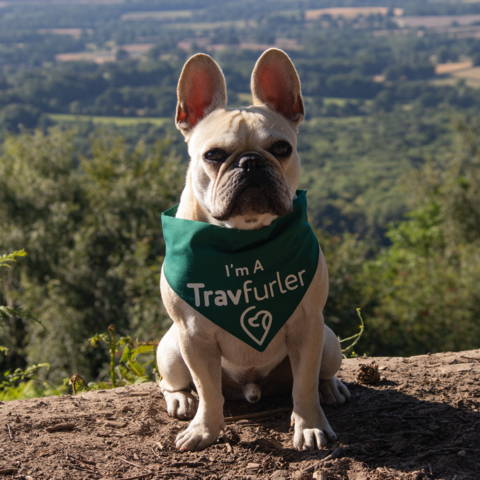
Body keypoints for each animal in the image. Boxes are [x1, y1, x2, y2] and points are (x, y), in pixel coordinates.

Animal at [158, 47, 348, 450]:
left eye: (281, 148)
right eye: (213, 155)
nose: (251, 162)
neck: (241, 239)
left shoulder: (308, 327)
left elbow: (303, 385)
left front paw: (309, 425)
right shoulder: (192, 336)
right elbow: (208, 390)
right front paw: (205, 430)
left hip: (328, 343)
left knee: (316, 377)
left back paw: (330, 389)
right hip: (171, 350)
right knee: (174, 381)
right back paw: (181, 400)